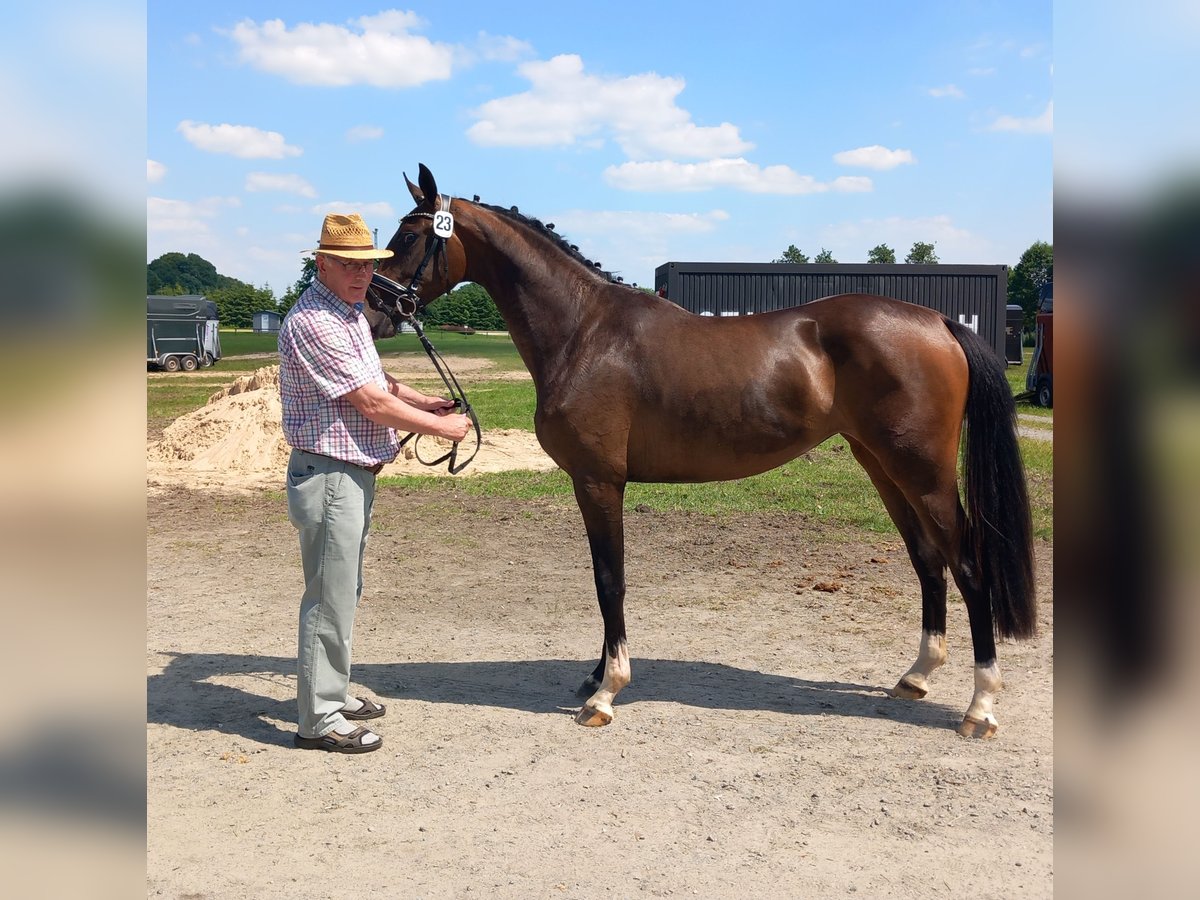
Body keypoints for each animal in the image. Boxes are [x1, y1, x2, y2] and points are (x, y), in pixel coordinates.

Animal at [372, 164, 1032, 739]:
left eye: (409, 236)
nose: (377, 311)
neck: (585, 332)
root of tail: (939, 321)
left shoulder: (598, 481)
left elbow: (609, 579)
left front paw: (606, 692)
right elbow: (604, 580)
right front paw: (596, 674)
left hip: (922, 472)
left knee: (968, 566)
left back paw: (980, 708)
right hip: (883, 466)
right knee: (928, 561)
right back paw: (916, 678)